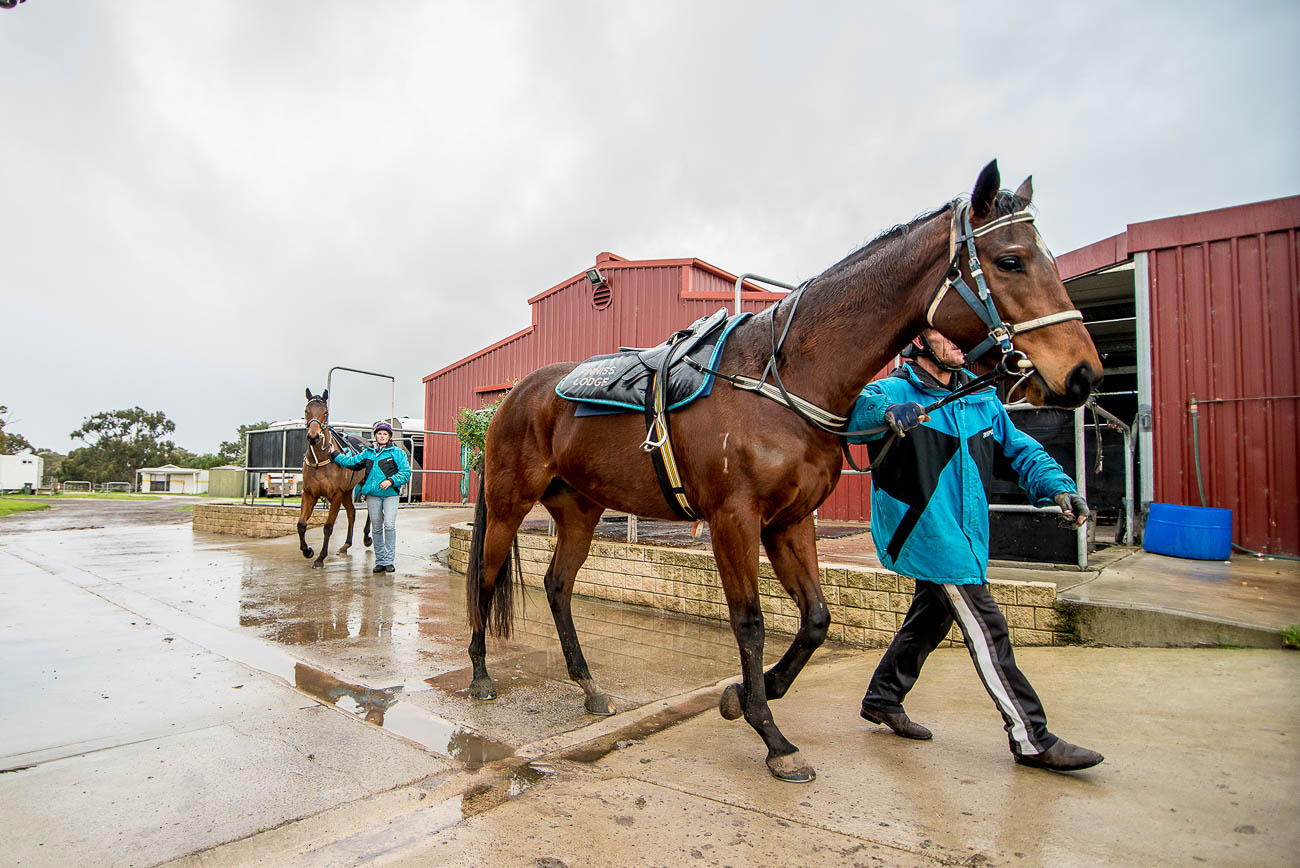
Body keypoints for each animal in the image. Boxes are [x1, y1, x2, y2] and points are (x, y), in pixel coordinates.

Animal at [297, 392, 371, 569]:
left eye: (326, 412)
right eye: (306, 410)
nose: (313, 436)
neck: (320, 461)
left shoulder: (336, 495)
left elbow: (328, 527)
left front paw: (320, 558)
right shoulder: (309, 494)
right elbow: (301, 524)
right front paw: (307, 551)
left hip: (365, 485)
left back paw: (367, 538)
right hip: (348, 491)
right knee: (352, 512)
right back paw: (346, 544)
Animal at [462, 161, 1102, 779]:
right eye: (1010, 260)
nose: (1083, 374)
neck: (781, 380)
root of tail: (512, 399)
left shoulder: (790, 522)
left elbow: (816, 618)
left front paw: (752, 692)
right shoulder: (734, 520)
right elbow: (749, 622)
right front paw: (772, 737)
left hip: (580, 509)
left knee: (557, 585)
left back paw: (589, 686)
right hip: (509, 505)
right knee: (486, 580)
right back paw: (480, 677)